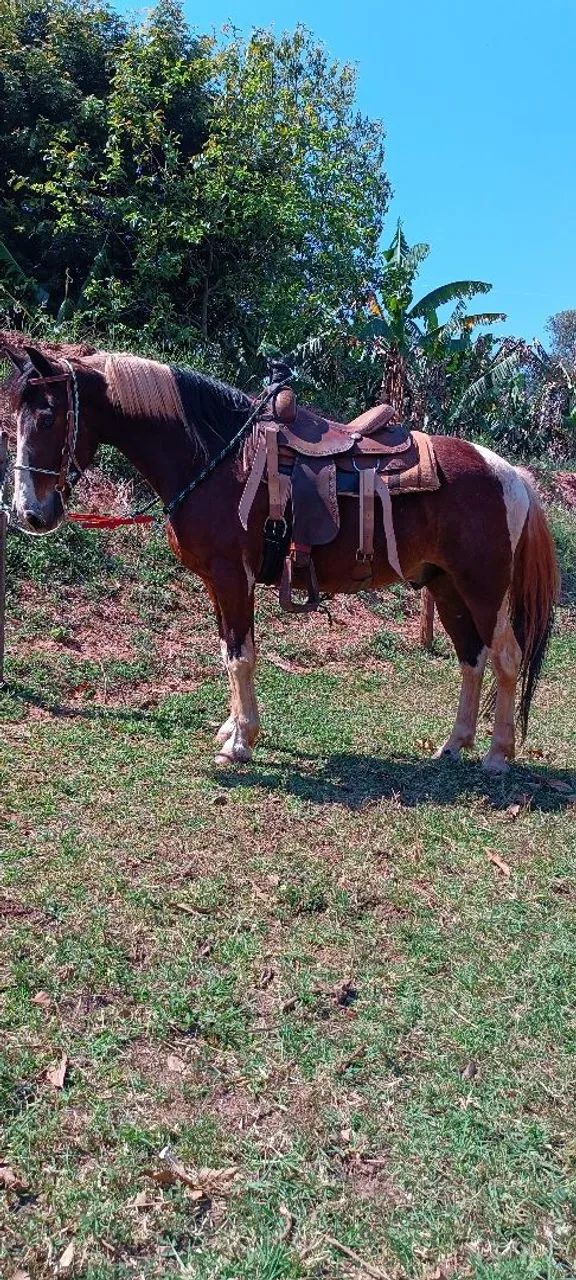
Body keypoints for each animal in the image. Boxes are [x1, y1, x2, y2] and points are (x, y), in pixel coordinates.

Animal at [1, 334, 559, 774]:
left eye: (47, 419)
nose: (29, 512)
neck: (214, 458)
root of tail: (509, 474)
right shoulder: (218, 583)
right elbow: (228, 650)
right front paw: (232, 730)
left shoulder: (233, 576)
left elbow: (240, 655)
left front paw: (241, 743)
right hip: (445, 585)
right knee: (471, 658)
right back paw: (452, 746)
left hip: (484, 587)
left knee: (505, 657)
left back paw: (497, 755)